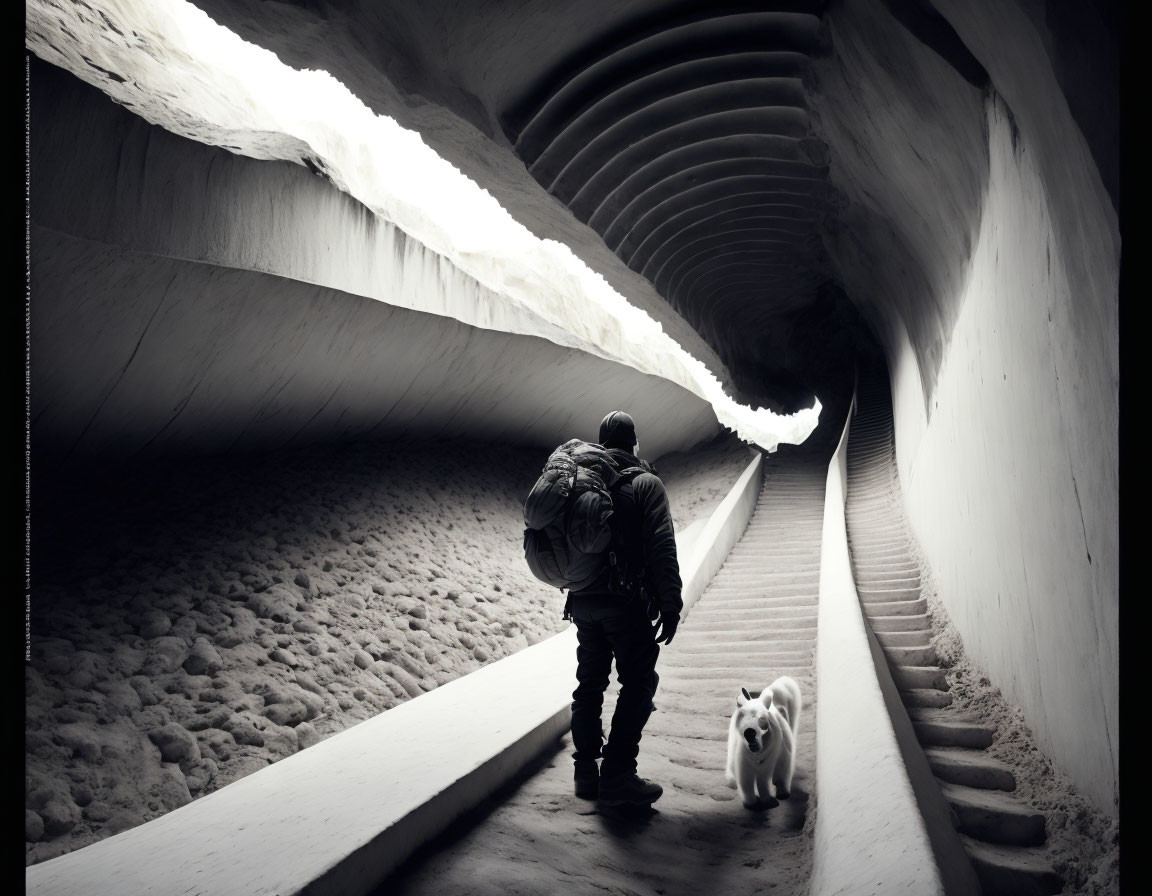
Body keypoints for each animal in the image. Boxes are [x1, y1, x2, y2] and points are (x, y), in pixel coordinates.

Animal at [718, 672, 801, 806]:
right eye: (742, 717)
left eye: (762, 718)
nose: (749, 732)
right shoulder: (744, 761)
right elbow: (746, 782)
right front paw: (751, 803)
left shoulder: (779, 755)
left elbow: (773, 777)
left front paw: (774, 798)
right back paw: (732, 781)